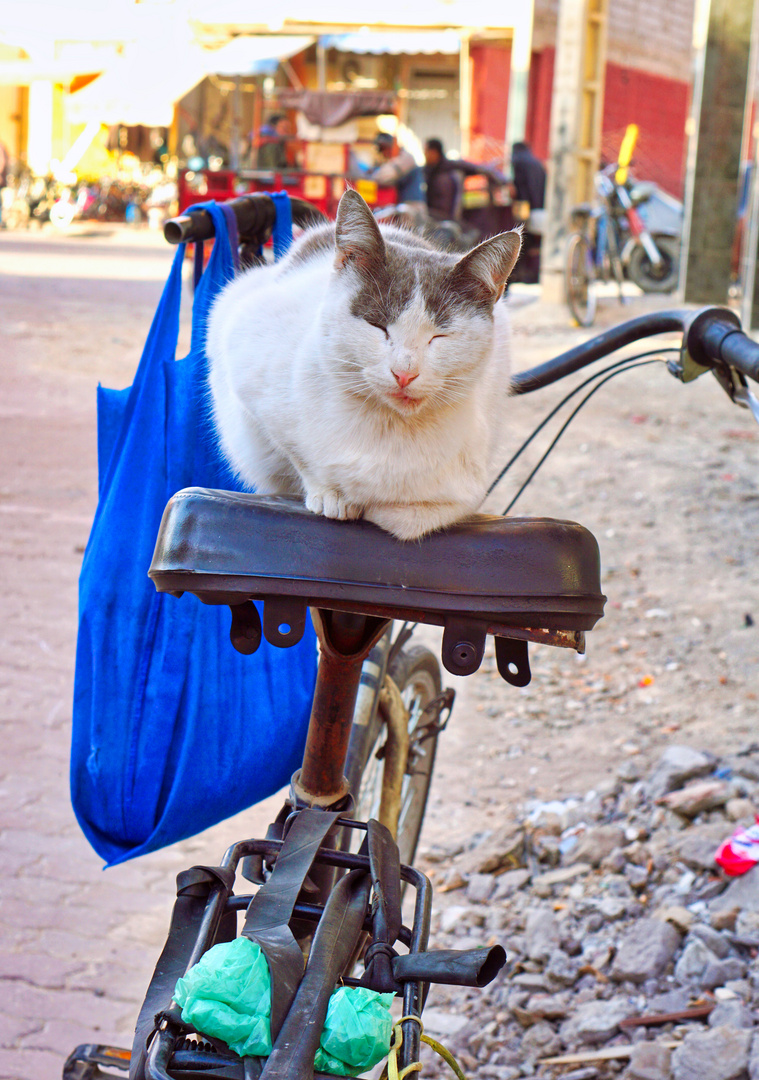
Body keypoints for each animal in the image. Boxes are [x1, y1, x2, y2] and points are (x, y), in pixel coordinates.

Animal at [205, 191, 520, 544]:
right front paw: (331, 494)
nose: (404, 373)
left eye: (439, 336)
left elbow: (417, 514)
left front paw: (379, 504)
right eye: (377, 326)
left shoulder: (468, 483)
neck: (389, 431)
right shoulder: (246, 361)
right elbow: (300, 456)